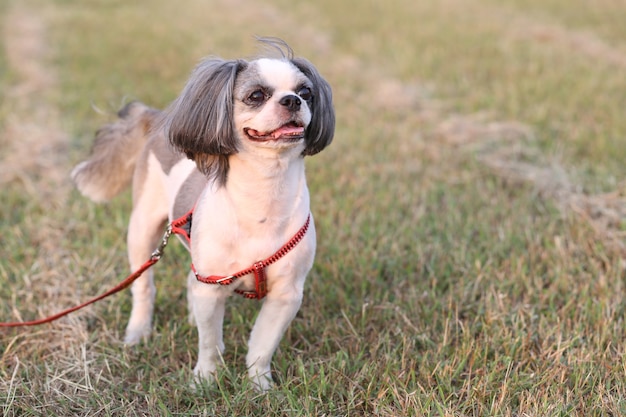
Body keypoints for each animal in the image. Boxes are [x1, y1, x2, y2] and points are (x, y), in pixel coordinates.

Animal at [70, 39, 334, 390]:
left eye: (306, 92)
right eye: (256, 95)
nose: (292, 100)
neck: (264, 194)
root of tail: (159, 121)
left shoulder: (286, 295)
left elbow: (262, 345)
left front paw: (259, 386)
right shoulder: (211, 287)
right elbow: (209, 342)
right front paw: (205, 380)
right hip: (143, 229)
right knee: (144, 287)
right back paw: (139, 331)